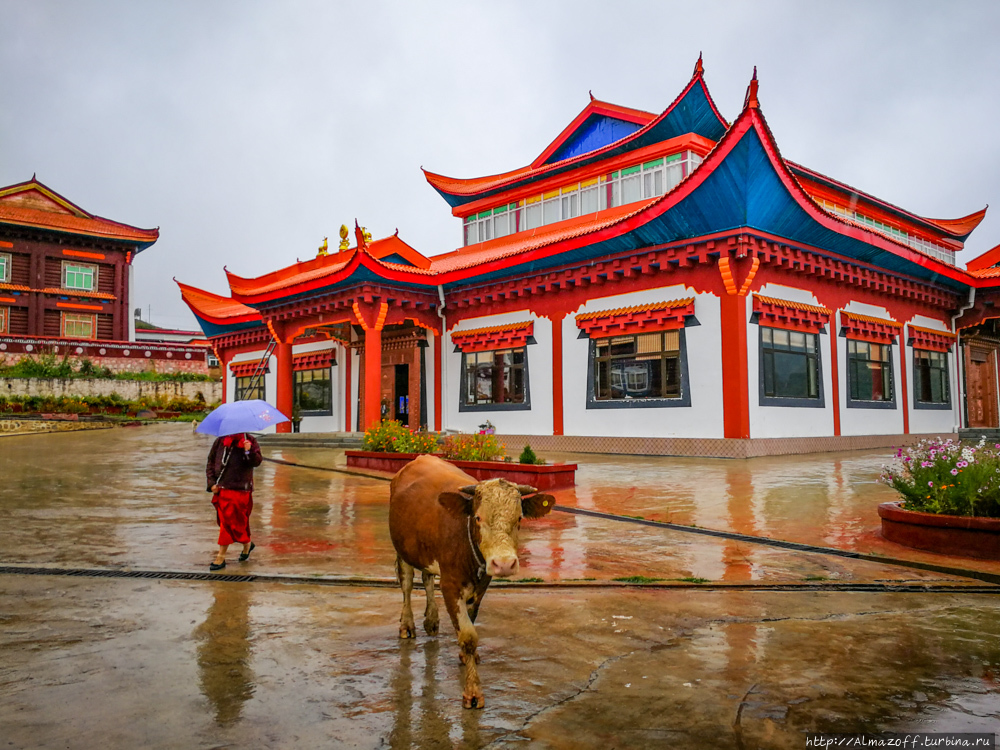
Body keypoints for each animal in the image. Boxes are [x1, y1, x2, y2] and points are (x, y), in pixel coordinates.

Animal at [386, 452, 556, 712]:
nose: (504, 563)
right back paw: (407, 625)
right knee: (406, 583)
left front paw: (465, 658)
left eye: (519, 518)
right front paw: (473, 692)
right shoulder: (450, 585)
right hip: (402, 549)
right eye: (477, 518)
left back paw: (432, 621)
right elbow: (468, 637)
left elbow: (471, 623)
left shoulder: (481, 584)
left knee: (427, 577)